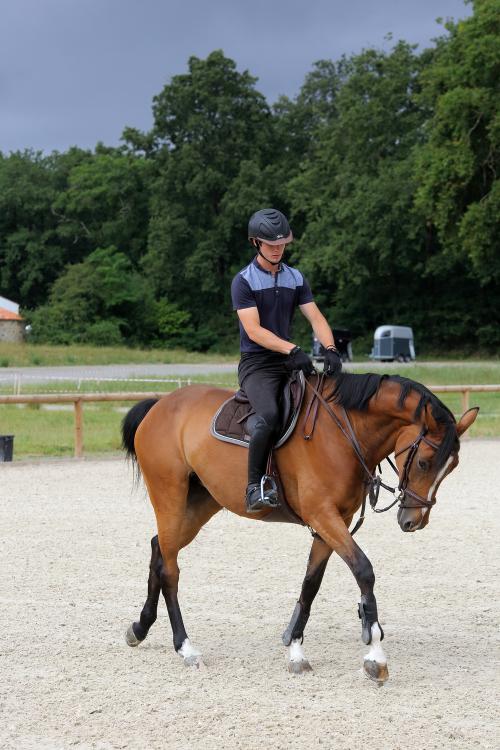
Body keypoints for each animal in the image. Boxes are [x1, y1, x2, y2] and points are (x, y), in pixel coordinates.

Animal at [120, 374, 476, 684]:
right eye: (424, 462)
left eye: (452, 467)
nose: (413, 521)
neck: (343, 433)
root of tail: (160, 404)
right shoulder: (324, 516)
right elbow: (364, 571)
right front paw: (375, 655)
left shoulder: (335, 521)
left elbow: (311, 584)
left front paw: (294, 649)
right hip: (169, 497)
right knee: (170, 570)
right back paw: (185, 647)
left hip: (201, 503)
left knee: (159, 549)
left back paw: (140, 628)